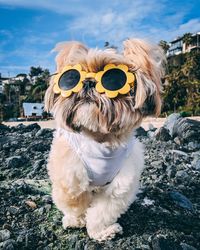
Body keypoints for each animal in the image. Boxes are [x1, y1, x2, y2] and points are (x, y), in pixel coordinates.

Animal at [44, 39, 165, 242]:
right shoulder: (70, 176)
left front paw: (100, 231)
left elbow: (103, 211)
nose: (88, 82)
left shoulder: (119, 185)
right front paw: (77, 220)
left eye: (112, 80)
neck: (99, 139)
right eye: (71, 78)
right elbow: (76, 201)